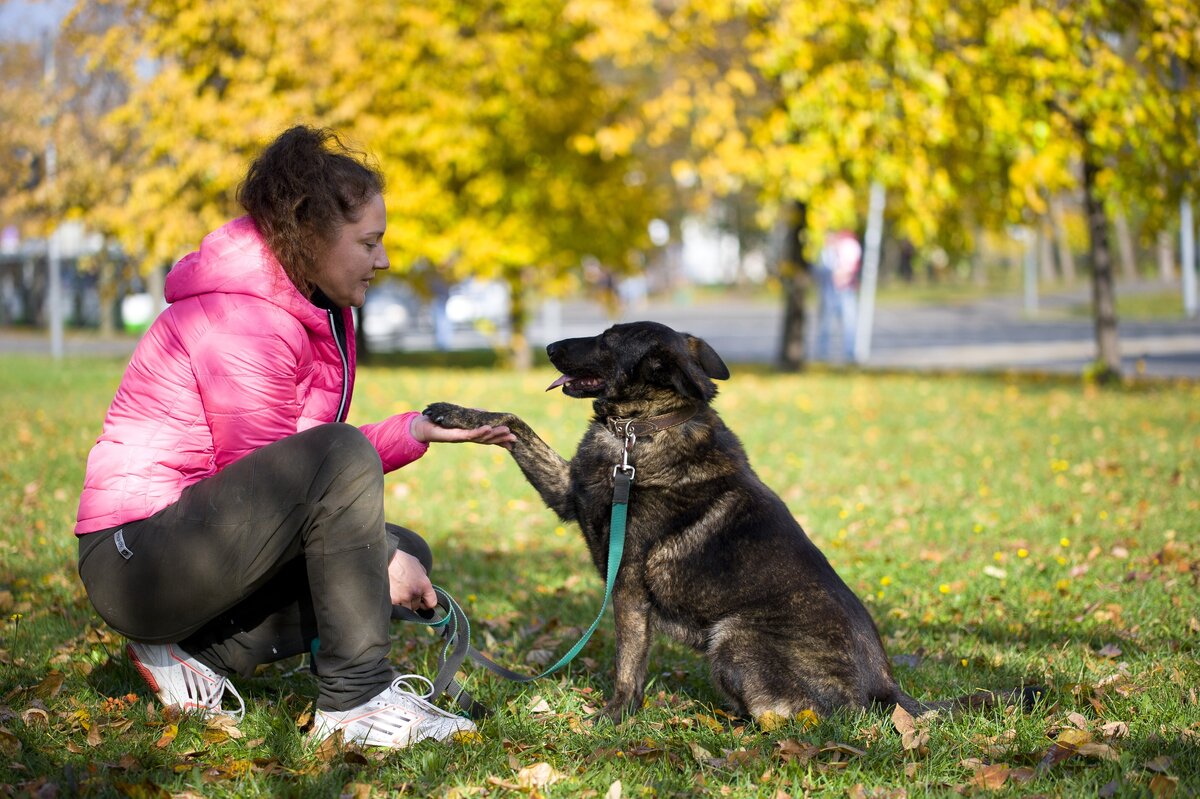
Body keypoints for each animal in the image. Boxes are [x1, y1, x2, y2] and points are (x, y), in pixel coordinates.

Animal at [427, 319, 1036, 719]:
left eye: (606, 339)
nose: (549, 346)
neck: (642, 432)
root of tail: (887, 686)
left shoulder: (627, 590)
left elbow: (627, 665)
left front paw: (614, 718)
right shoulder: (566, 495)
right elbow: (515, 422)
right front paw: (456, 415)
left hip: (732, 639)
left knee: (794, 716)